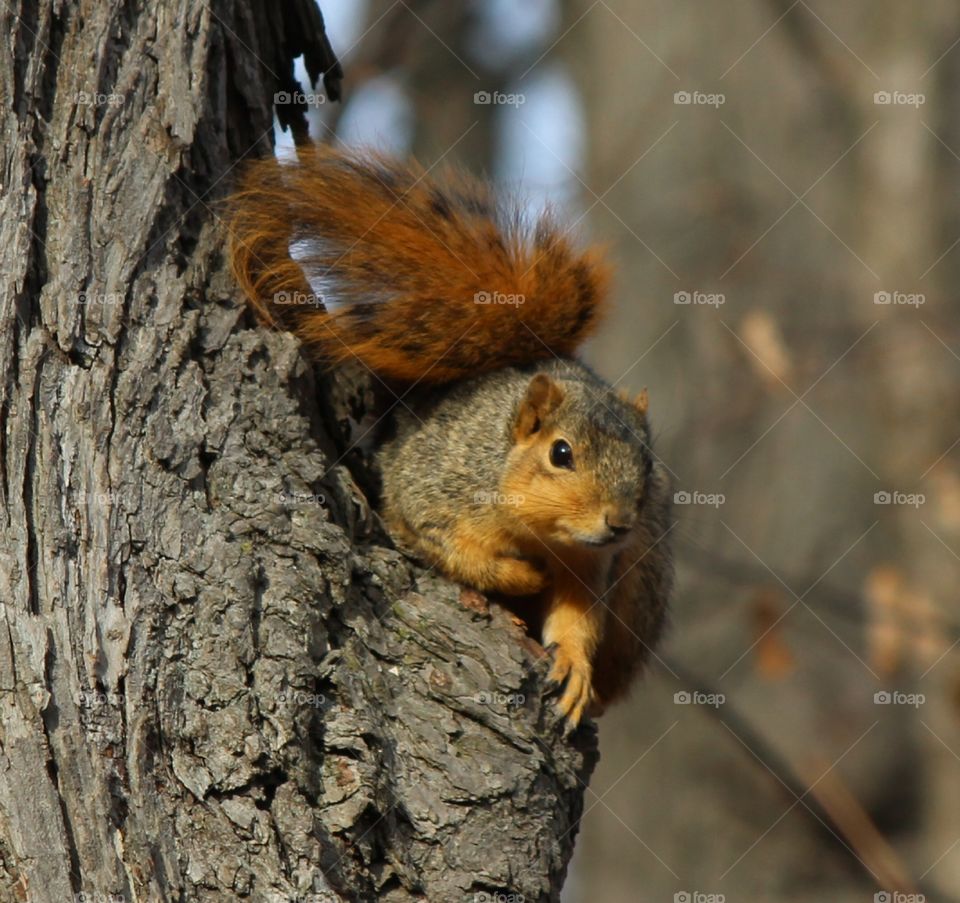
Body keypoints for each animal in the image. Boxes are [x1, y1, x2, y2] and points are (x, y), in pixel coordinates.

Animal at [227, 145, 673, 726]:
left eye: (648, 462)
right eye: (561, 453)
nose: (619, 523)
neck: (539, 530)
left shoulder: (590, 563)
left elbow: (578, 617)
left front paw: (575, 667)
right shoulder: (432, 491)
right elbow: (458, 552)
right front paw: (523, 578)